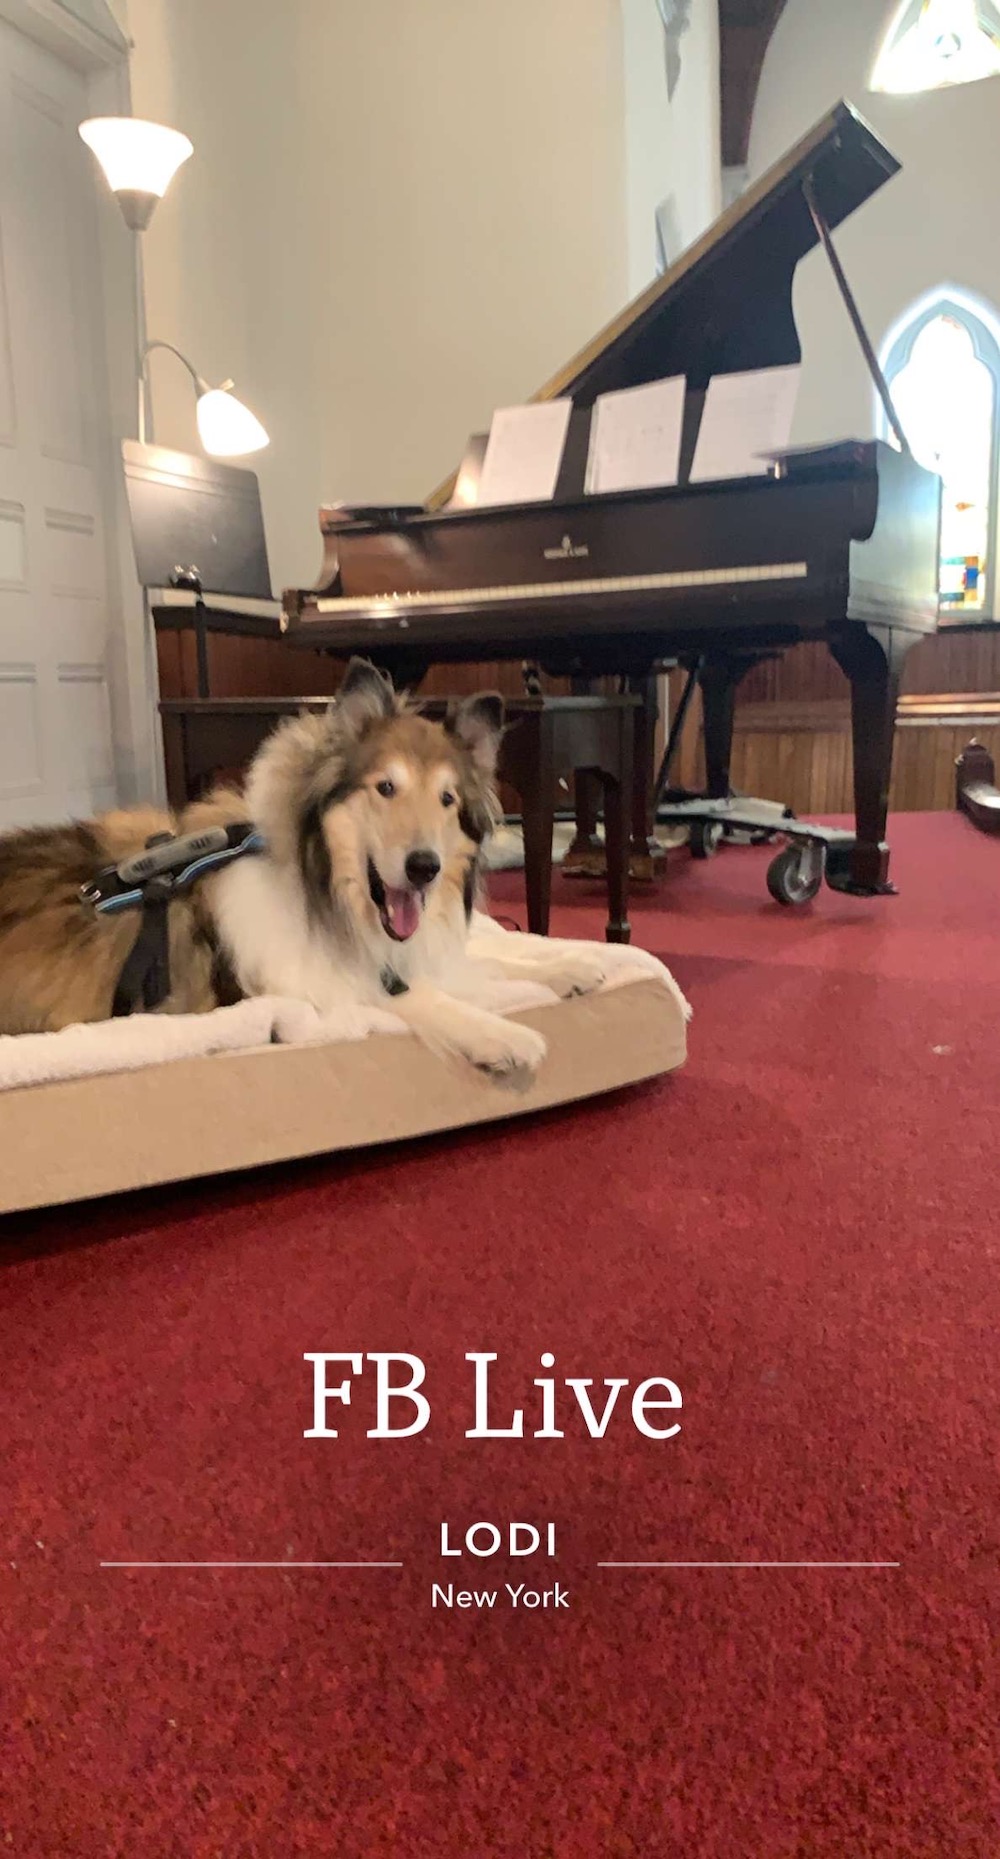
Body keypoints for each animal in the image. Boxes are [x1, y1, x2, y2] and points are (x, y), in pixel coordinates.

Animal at [0, 661, 605, 1085]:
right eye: (386, 787)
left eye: (448, 799)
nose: (424, 868)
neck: (332, 897)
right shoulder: (315, 986)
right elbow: (424, 999)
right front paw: (507, 1037)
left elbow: (494, 959)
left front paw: (574, 966)